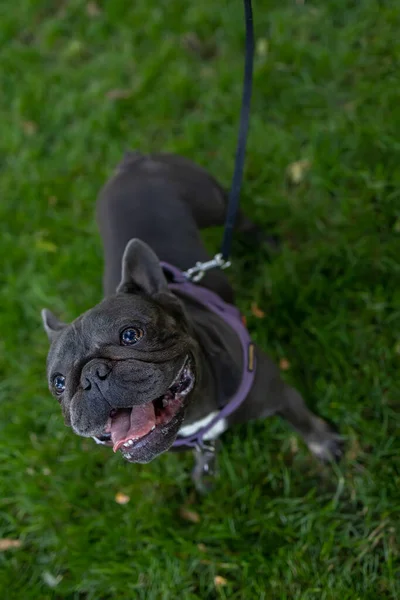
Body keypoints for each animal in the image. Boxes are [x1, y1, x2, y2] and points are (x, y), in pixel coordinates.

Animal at [42, 152, 342, 490]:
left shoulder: (277, 395)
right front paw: (205, 466)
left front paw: (324, 443)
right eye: (58, 383)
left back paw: (270, 245)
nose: (93, 375)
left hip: (215, 204)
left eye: (131, 335)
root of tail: (133, 161)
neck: (196, 410)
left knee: (242, 221)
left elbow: (301, 419)